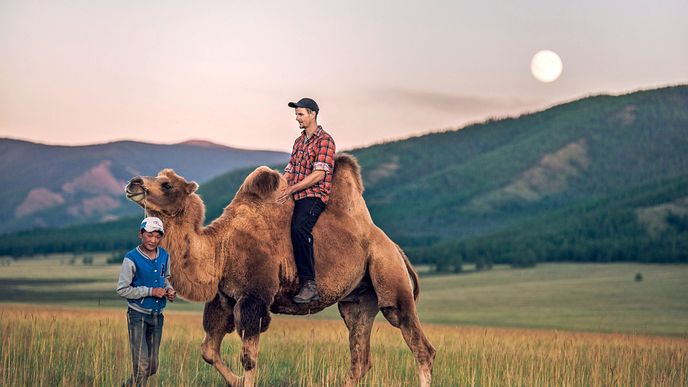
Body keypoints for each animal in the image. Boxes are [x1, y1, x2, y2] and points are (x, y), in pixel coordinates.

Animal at [124, 153, 436, 386]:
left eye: (167, 185)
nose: (134, 182)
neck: (220, 249)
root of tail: (394, 247)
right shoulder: (223, 299)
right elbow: (209, 351)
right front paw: (235, 380)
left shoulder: (255, 298)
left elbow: (248, 359)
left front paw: (243, 379)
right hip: (358, 299)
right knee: (360, 358)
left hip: (389, 276)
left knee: (421, 347)